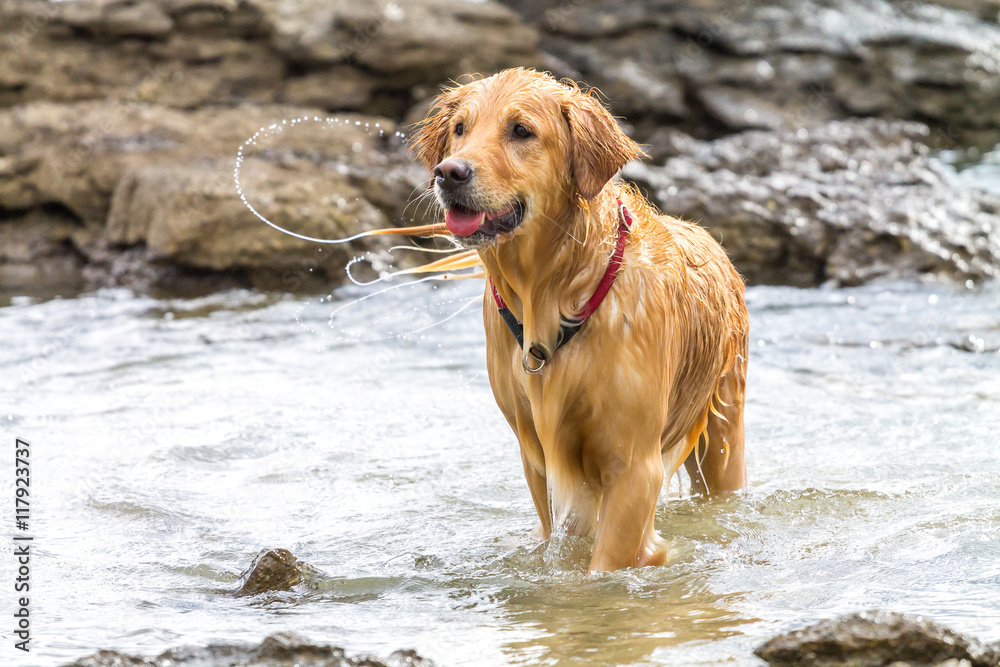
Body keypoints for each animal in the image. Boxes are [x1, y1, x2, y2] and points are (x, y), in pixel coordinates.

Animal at [410, 69, 748, 576]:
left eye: (521, 131)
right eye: (459, 129)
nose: (448, 173)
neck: (556, 292)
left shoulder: (634, 465)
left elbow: (606, 567)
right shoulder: (536, 456)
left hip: (724, 433)